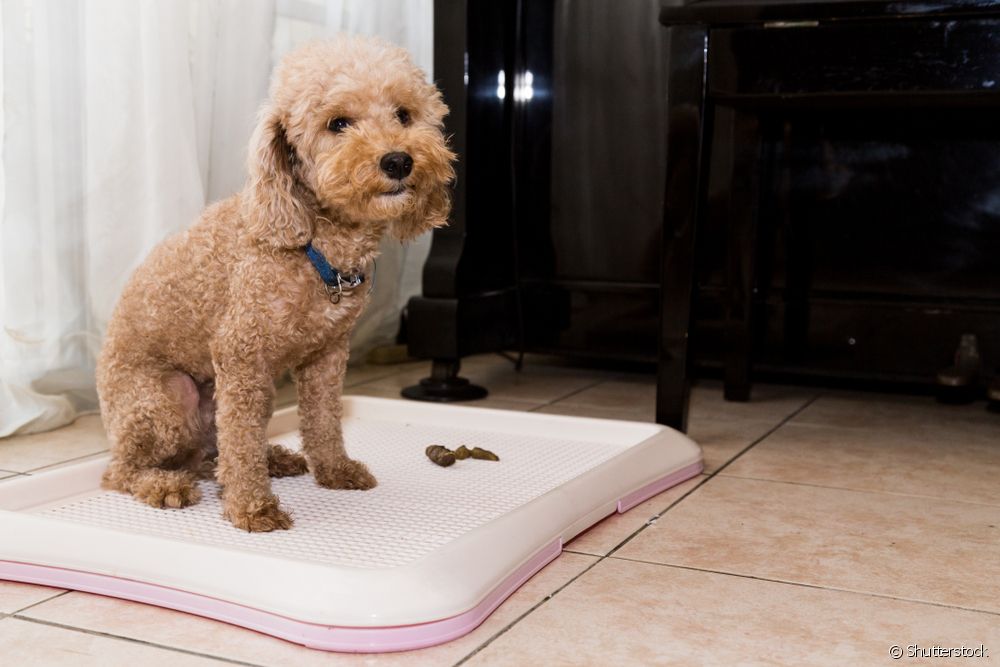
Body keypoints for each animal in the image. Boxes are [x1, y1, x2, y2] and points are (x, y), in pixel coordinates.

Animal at [95, 36, 456, 532]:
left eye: (403, 114)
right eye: (337, 123)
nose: (399, 160)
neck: (316, 247)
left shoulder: (327, 357)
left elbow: (323, 422)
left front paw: (335, 470)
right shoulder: (240, 355)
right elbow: (241, 444)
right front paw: (252, 506)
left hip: (234, 396)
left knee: (211, 450)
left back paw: (270, 460)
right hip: (168, 399)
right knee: (123, 471)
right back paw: (164, 485)